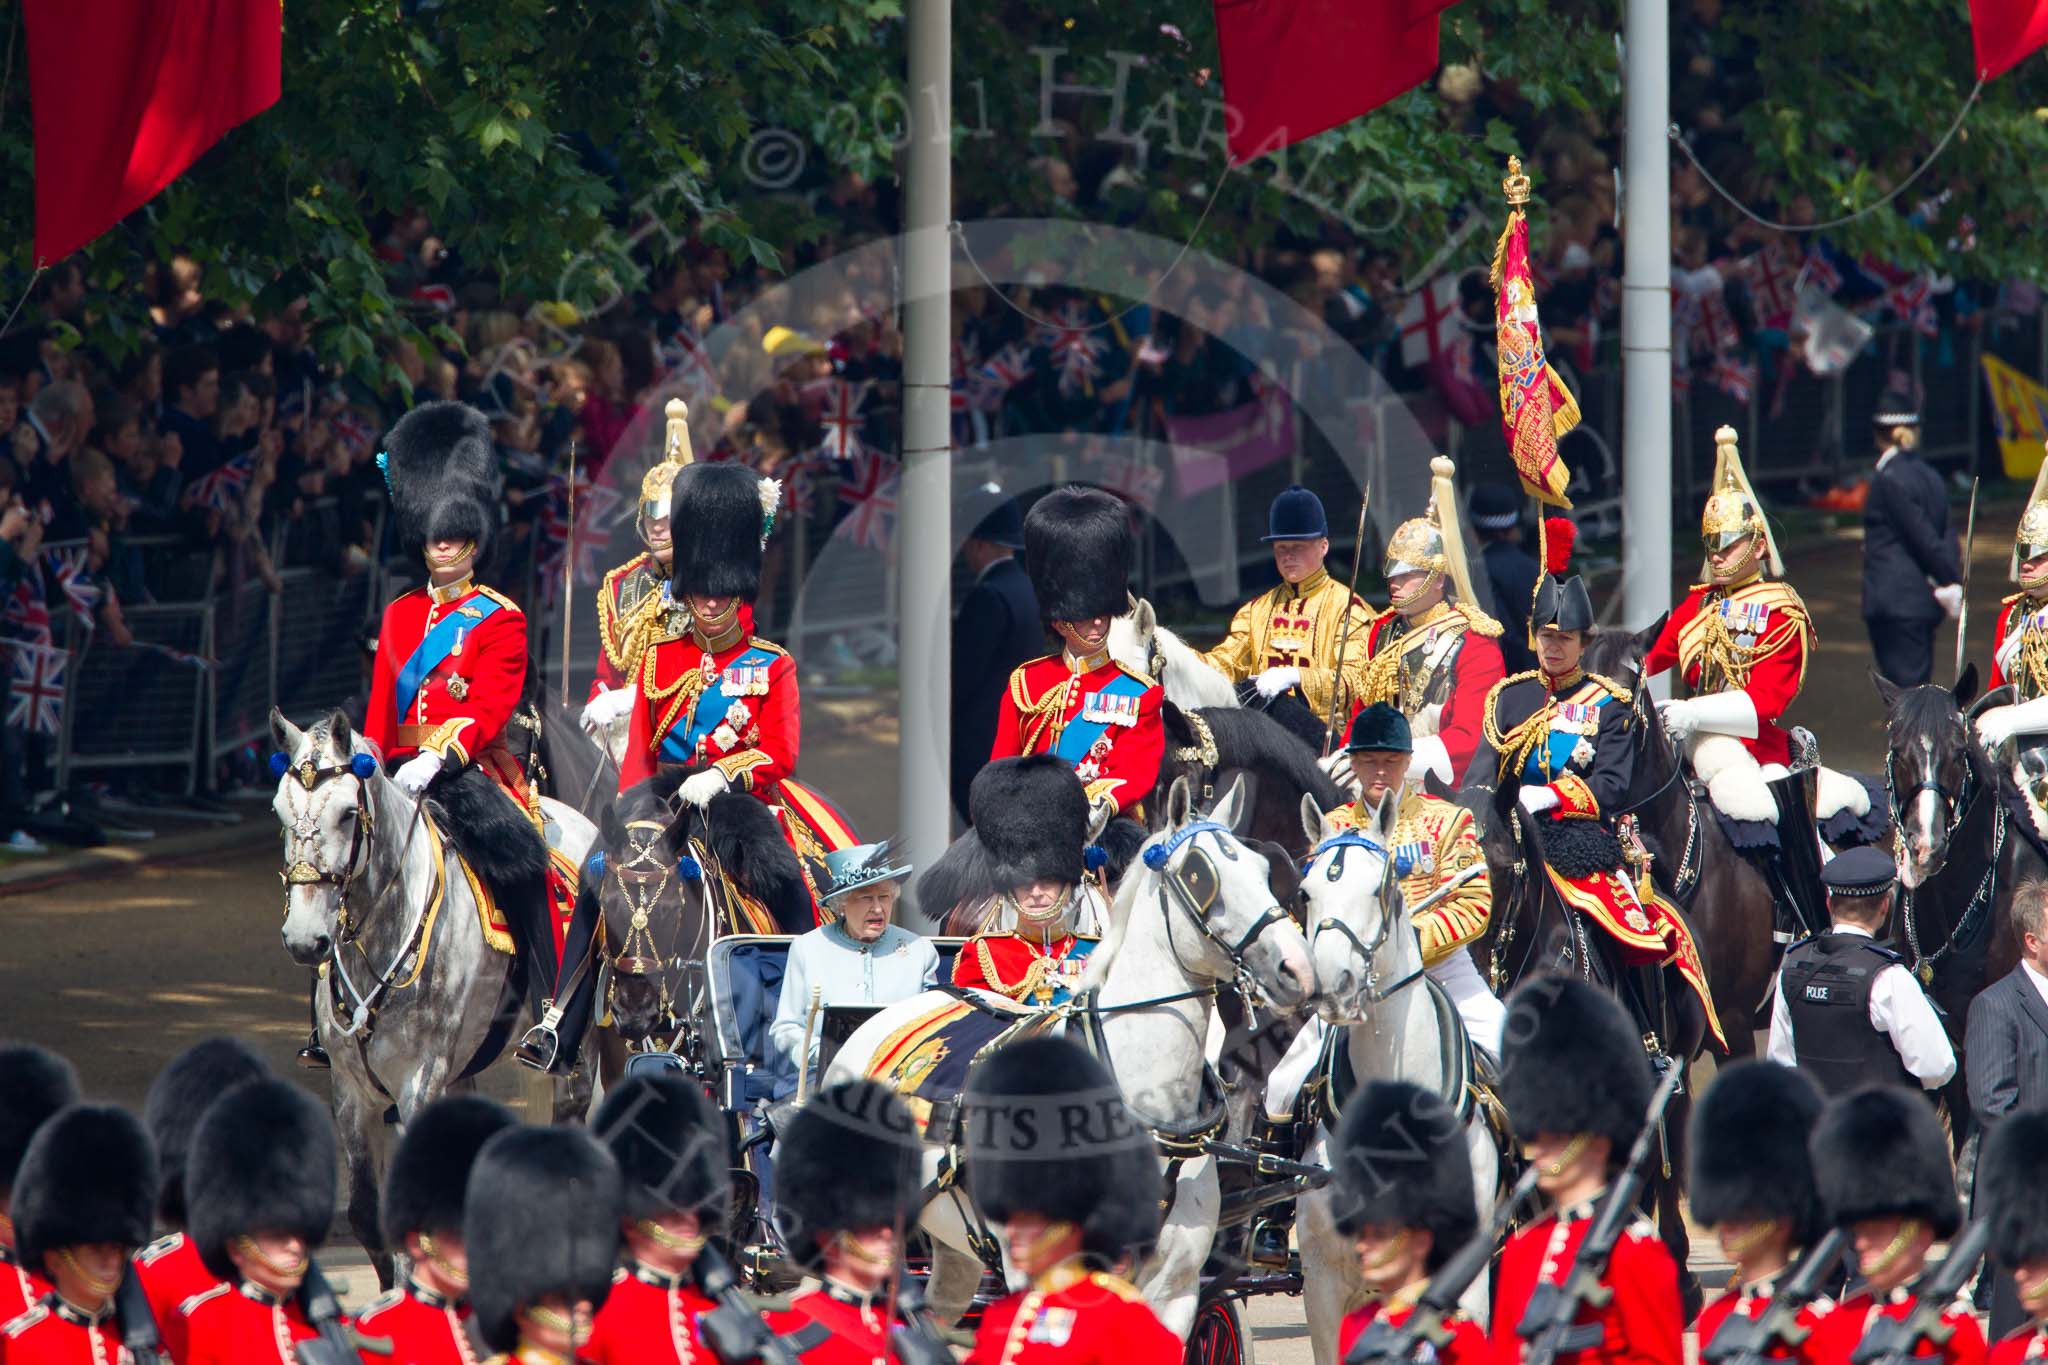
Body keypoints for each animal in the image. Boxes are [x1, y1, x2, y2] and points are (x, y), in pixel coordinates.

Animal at [268, 712, 598, 1277]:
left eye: (348, 813)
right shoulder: (351, 1090)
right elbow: (366, 1216)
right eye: (280, 810)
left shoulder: (418, 1081)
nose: (305, 939)